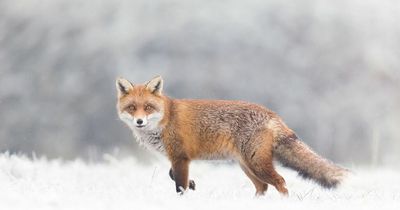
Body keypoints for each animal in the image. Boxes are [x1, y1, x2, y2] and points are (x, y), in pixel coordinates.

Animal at [115, 75, 346, 195]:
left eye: (147, 107)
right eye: (132, 108)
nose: (139, 121)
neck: (165, 118)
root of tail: (272, 113)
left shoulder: (180, 157)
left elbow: (179, 184)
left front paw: (185, 195)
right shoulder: (179, 158)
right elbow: (173, 175)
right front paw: (193, 185)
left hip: (257, 164)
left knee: (280, 182)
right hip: (246, 165)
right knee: (263, 187)